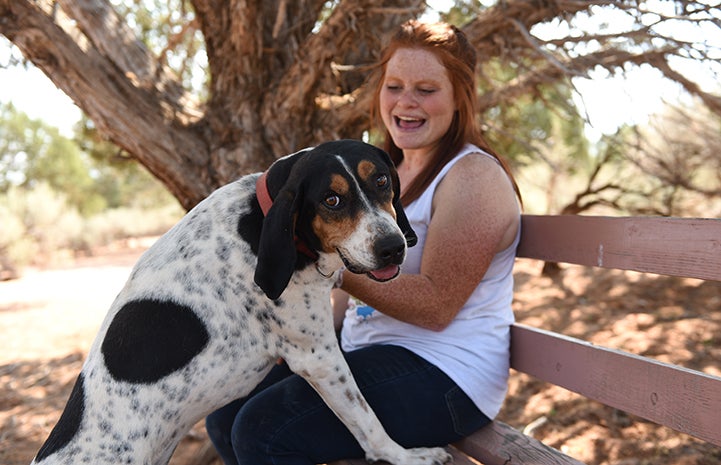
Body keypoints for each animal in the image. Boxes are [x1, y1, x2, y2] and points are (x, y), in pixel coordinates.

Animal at [35, 140, 450, 464]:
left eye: (381, 180)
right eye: (331, 200)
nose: (392, 248)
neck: (263, 217)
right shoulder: (318, 357)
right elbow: (368, 422)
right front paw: (406, 456)